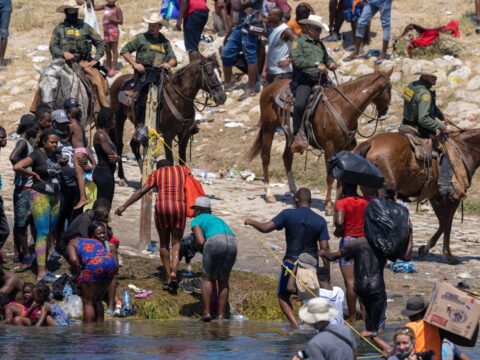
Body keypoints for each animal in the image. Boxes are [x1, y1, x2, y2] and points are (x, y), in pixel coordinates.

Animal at [110, 54, 227, 183]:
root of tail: (118, 80)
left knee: (134, 145)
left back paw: (142, 176)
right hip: (119, 119)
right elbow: (170, 160)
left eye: (220, 72)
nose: (222, 97)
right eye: (210, 73)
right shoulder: (168, 135)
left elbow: (182, 160)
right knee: (119, 145)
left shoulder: (184, 135)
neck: (179, 99)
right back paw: (122, 177)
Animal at [248, 69, 394, 212]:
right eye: (390, 89)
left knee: (287, 157)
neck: (343, 107)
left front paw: (338, 201)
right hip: (269, 127)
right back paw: (269, 194)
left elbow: (341, 175)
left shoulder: (344, 147)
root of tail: (268, 88)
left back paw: (295, 193)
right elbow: (330, 177)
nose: (385, 111)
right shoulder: (329, 147)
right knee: (265, 157)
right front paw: (328, 205)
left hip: (288, 133)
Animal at [354, 127, 480, 264]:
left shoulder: (435, 197)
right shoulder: (452, 198)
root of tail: (371, 142)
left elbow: (443, 222)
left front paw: (425, 249)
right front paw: (448, 255)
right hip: (386, 192)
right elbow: (448, 222)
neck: (464, 151)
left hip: (369, 190)